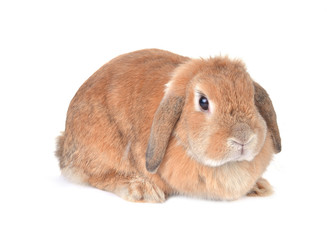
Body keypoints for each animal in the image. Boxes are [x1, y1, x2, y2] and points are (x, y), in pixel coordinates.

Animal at [56, 48, 282, 202]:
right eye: (203, 102)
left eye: (252, 97)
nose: (243, 138)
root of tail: (65, 144)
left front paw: (258, 186)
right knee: (98, 176)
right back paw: (141, 190)